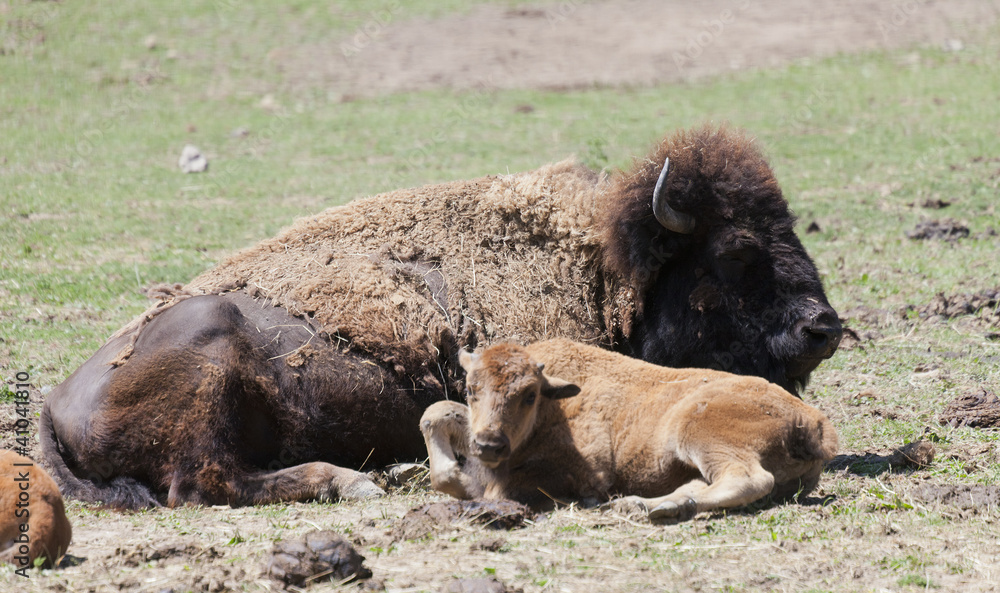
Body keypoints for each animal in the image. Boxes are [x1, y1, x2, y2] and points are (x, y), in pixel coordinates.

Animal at [420, 340, 836, 520]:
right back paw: (640, 505)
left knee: (748, 479)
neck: (556, 402)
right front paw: (455, 476)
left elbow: (500, 488)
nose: (489, 444)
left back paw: (650, 509)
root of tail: (815, 421)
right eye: (471, 389)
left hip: (697, 432)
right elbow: (434, 412)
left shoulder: (588, 470)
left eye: (529, 395)